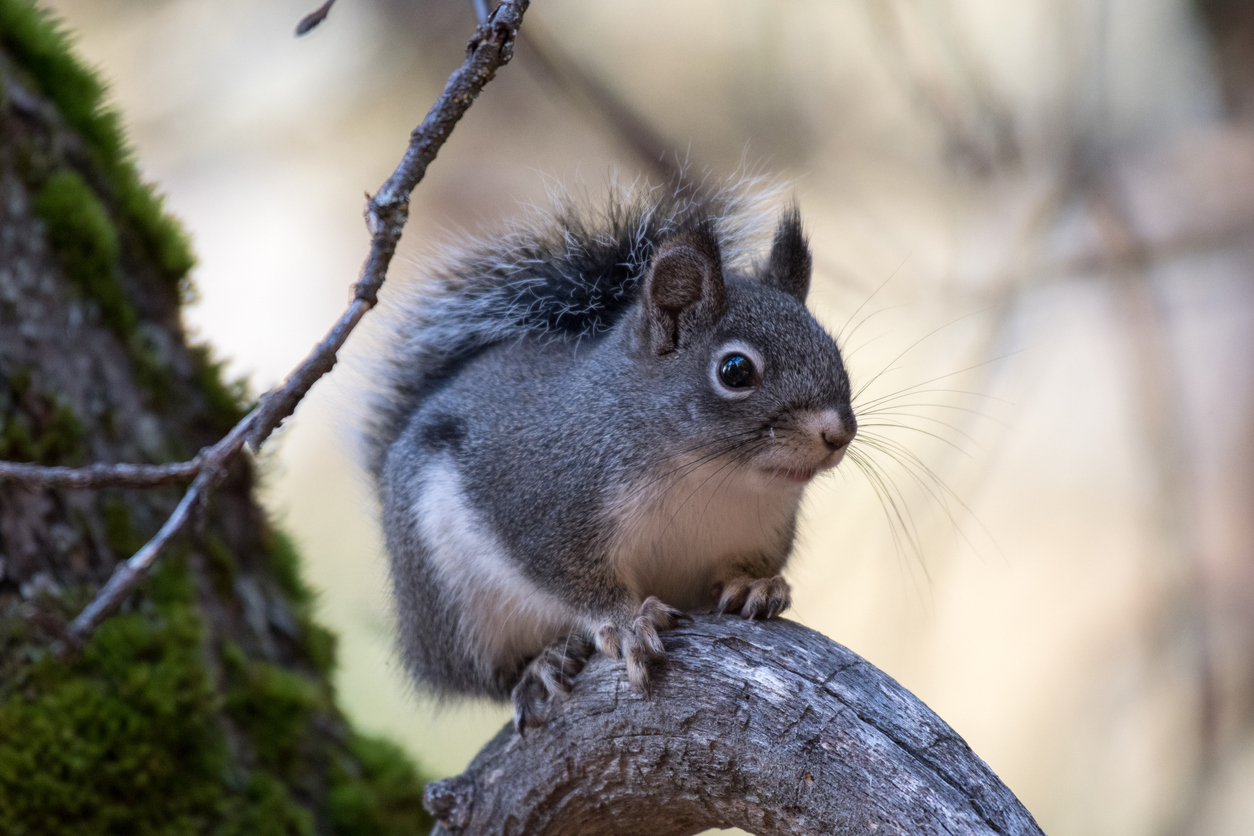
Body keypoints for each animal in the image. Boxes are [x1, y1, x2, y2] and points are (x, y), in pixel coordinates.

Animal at [358, 182, 857, 731]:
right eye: (735, 370)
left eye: (833, 349)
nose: (839, 433)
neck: (710, 474)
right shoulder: (543, 508)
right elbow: (571, 579)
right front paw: (628, 621)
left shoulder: (763, 530)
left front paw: (755, 585)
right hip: (455, 604)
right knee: (490, 676)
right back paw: (541, 665)